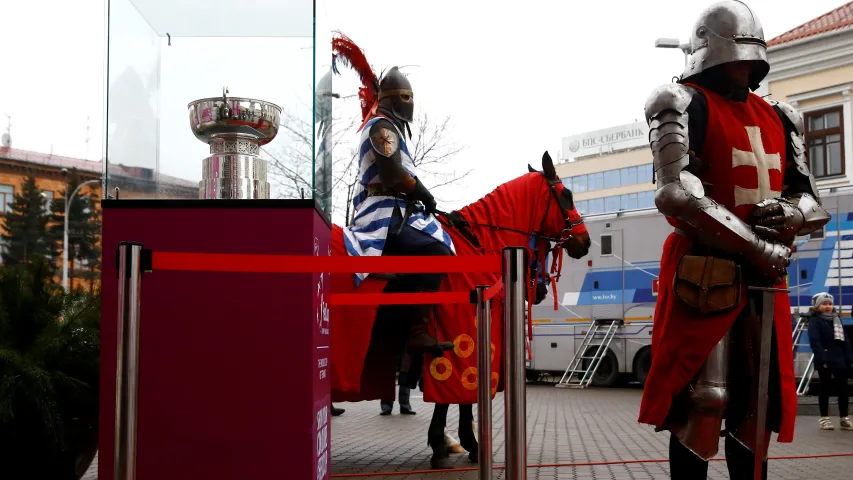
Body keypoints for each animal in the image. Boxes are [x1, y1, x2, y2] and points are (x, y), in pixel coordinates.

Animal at [330, 153, 588, 468]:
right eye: (567, 195)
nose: (585, 241)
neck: (475, 246)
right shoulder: (461, 334)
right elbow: (458, 396)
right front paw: (459, 444)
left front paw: (449, 441)